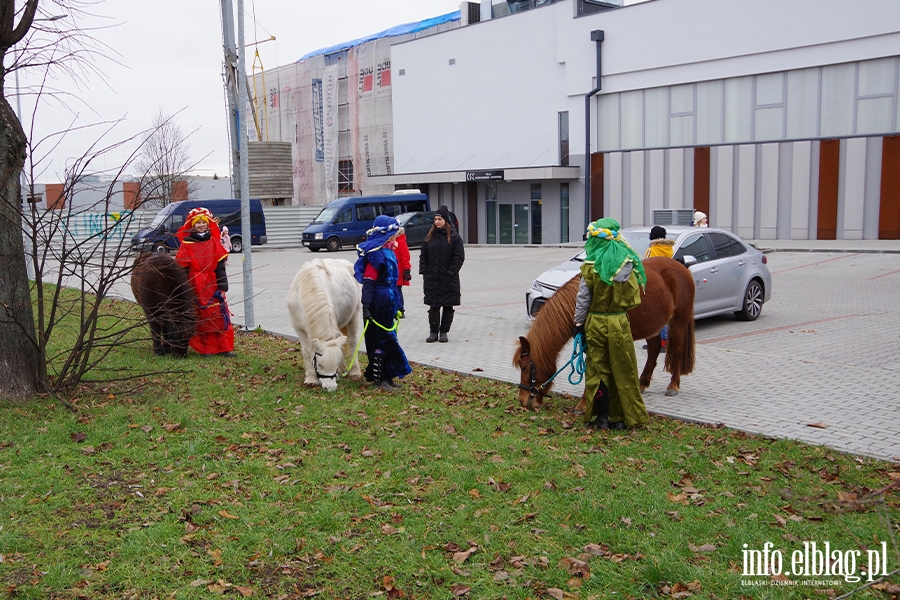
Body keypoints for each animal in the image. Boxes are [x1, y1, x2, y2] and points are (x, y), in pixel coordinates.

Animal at [284, 258, 362, 392]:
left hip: (354, 316)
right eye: (319, 364)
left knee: (352, 342)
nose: (330, 388)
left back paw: (355, 371)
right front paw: (311, 378)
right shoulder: (300, 329)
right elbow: (307, 352)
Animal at [512, 255, 696, 410]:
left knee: (677, 350)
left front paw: (584, 403)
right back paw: (642, 383)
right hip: (652, 326)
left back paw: (673, 386)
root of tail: (681, 268)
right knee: (653, 350)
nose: (522, 400)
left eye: (524, 367)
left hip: (678, 321)